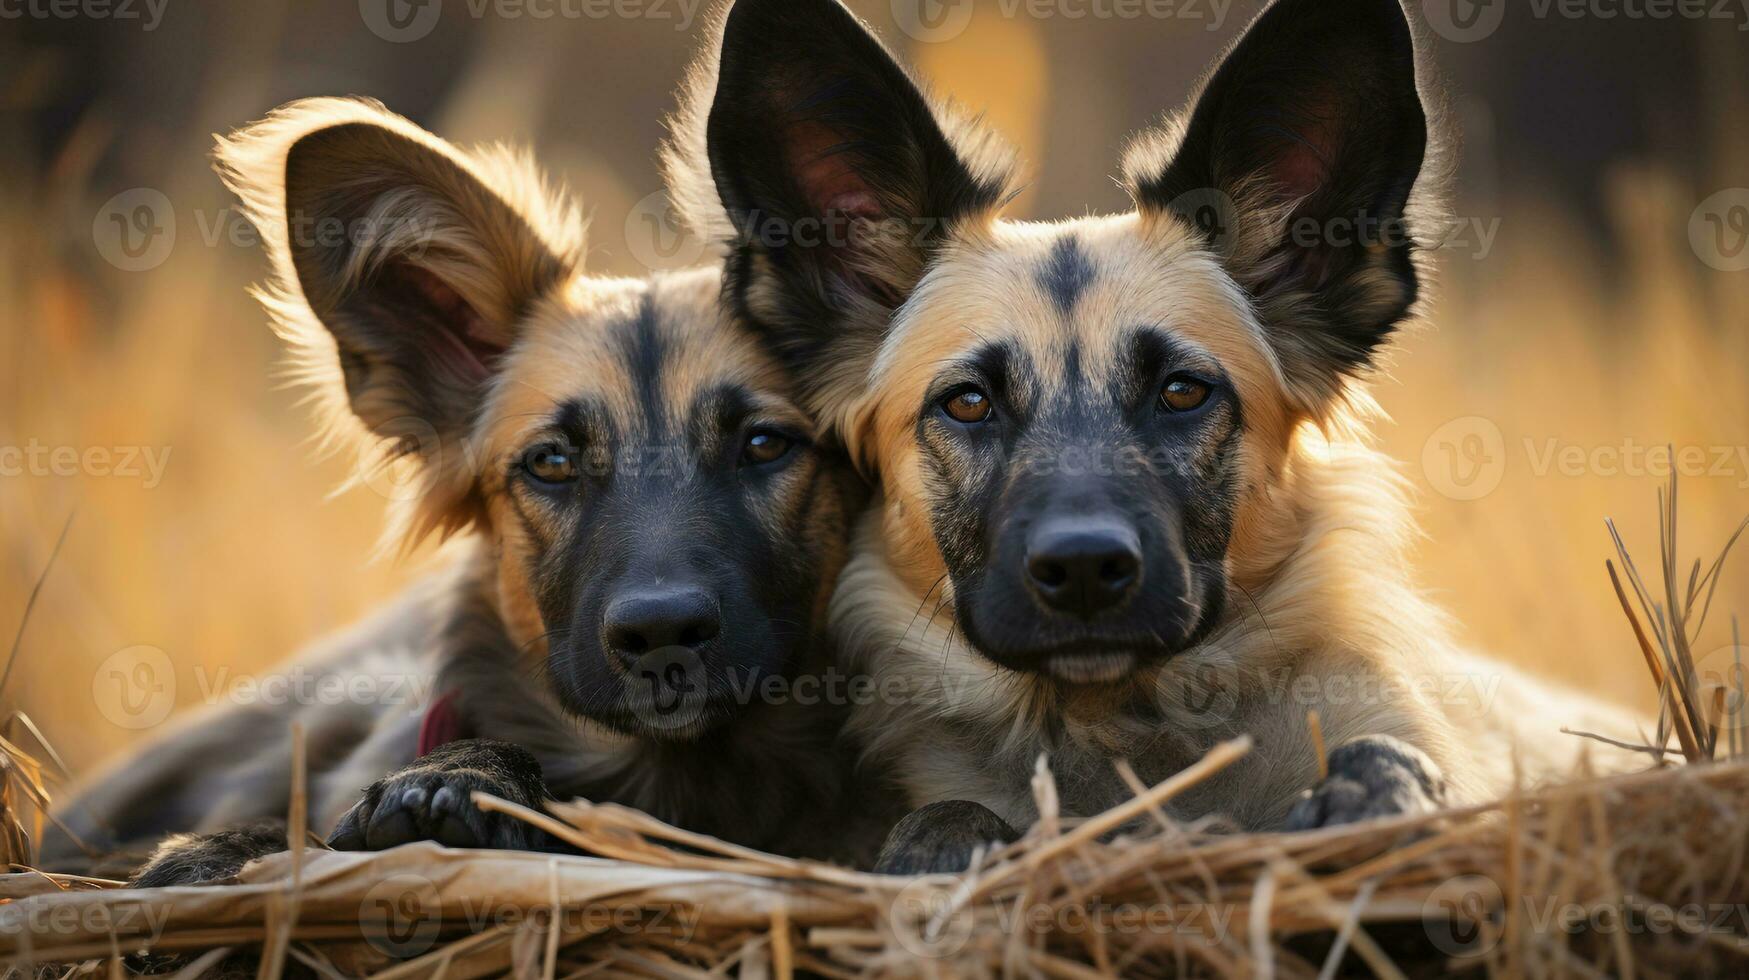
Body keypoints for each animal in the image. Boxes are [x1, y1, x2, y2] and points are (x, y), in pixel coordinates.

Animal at [671, 0, 1651, 871]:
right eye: (968, 404)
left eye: (1181, 392)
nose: (1082, 571)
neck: (1123, 728)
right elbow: (945, 813)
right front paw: (943, 846)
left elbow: (1386, 756)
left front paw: (1372, 798)